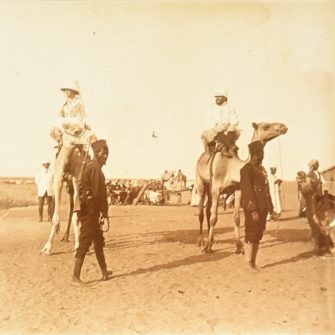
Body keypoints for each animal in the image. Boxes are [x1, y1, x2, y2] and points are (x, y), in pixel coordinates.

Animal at [197, 122, 288, 255]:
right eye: (265, 126)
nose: (283, 126)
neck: (231, 168)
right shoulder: (216, 190)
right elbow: (214, 218)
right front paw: (207, 247)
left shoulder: (238, 189)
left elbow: (236, 218)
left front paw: (239, 247)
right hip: (201, 184)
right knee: (201, 213)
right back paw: (201, 241)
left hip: (209, 189)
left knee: (208, 210)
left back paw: (212, 239)